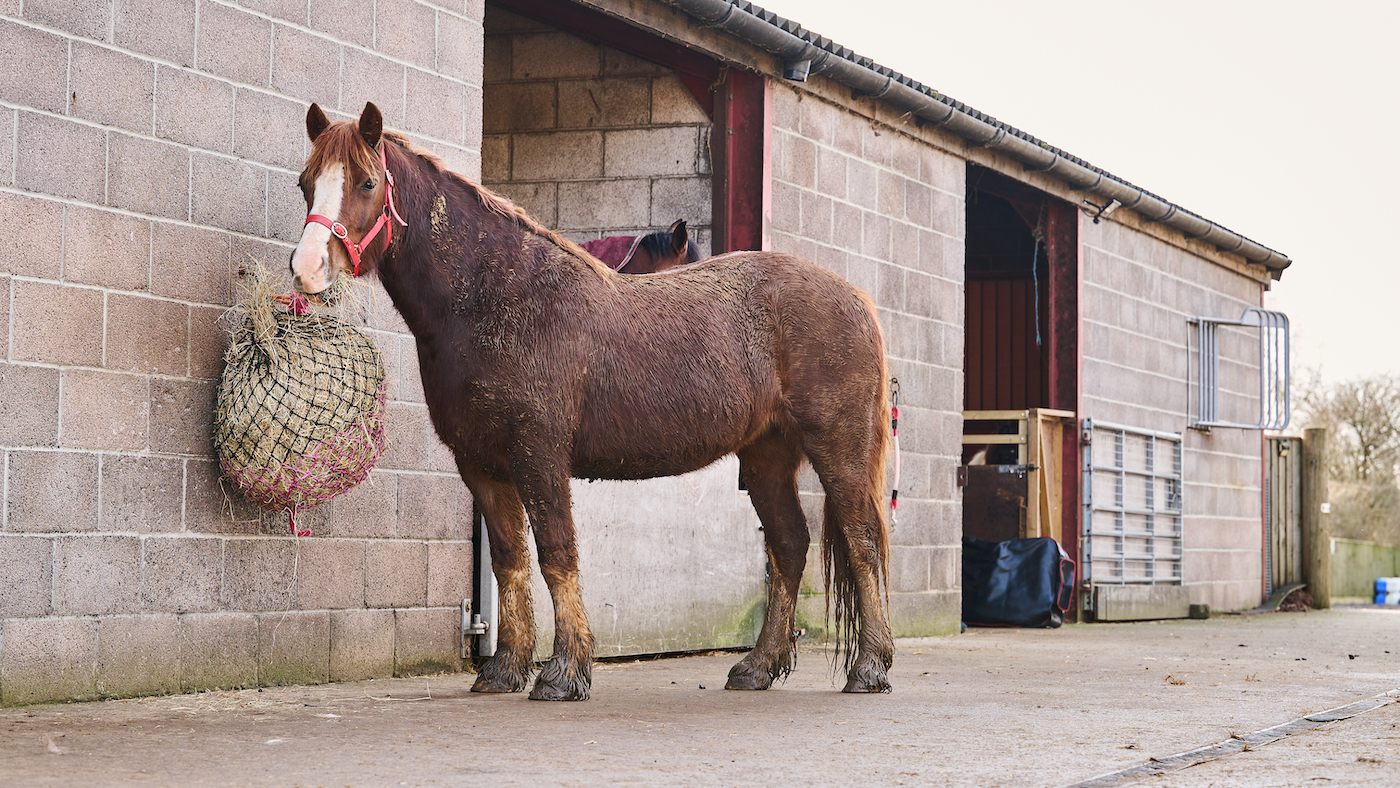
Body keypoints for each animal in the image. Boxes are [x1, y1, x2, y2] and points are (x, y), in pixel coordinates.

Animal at [290, 102, 894, 701]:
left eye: (367, 182)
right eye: (305, 183)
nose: (306, 269)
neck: (493, 297)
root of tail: (856, 298)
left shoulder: (539, 454)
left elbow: (557, 554)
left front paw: (563, 671)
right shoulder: (481, 463)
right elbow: (510, 559)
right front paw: (504, 668)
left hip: (838, 448)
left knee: (862, 540)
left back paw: (869, 667)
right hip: (767, 454)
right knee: (789, 546)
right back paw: (756, 667)